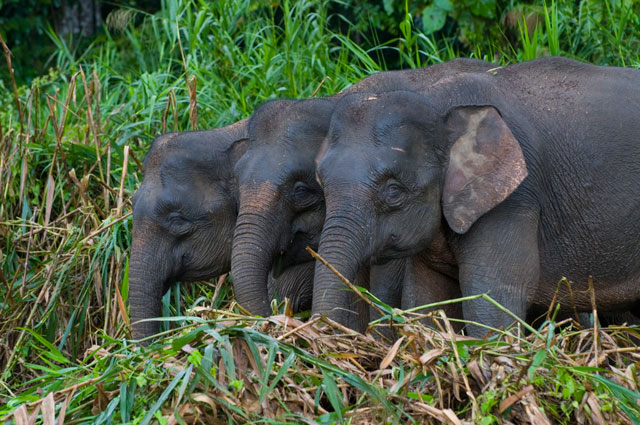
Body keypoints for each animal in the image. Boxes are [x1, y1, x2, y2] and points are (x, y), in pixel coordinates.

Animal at [312, 55, 640, 334]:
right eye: (321, 183)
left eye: (393, 191)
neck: (440, 104)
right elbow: (427, 298)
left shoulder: (515, 199)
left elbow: (494, 297)